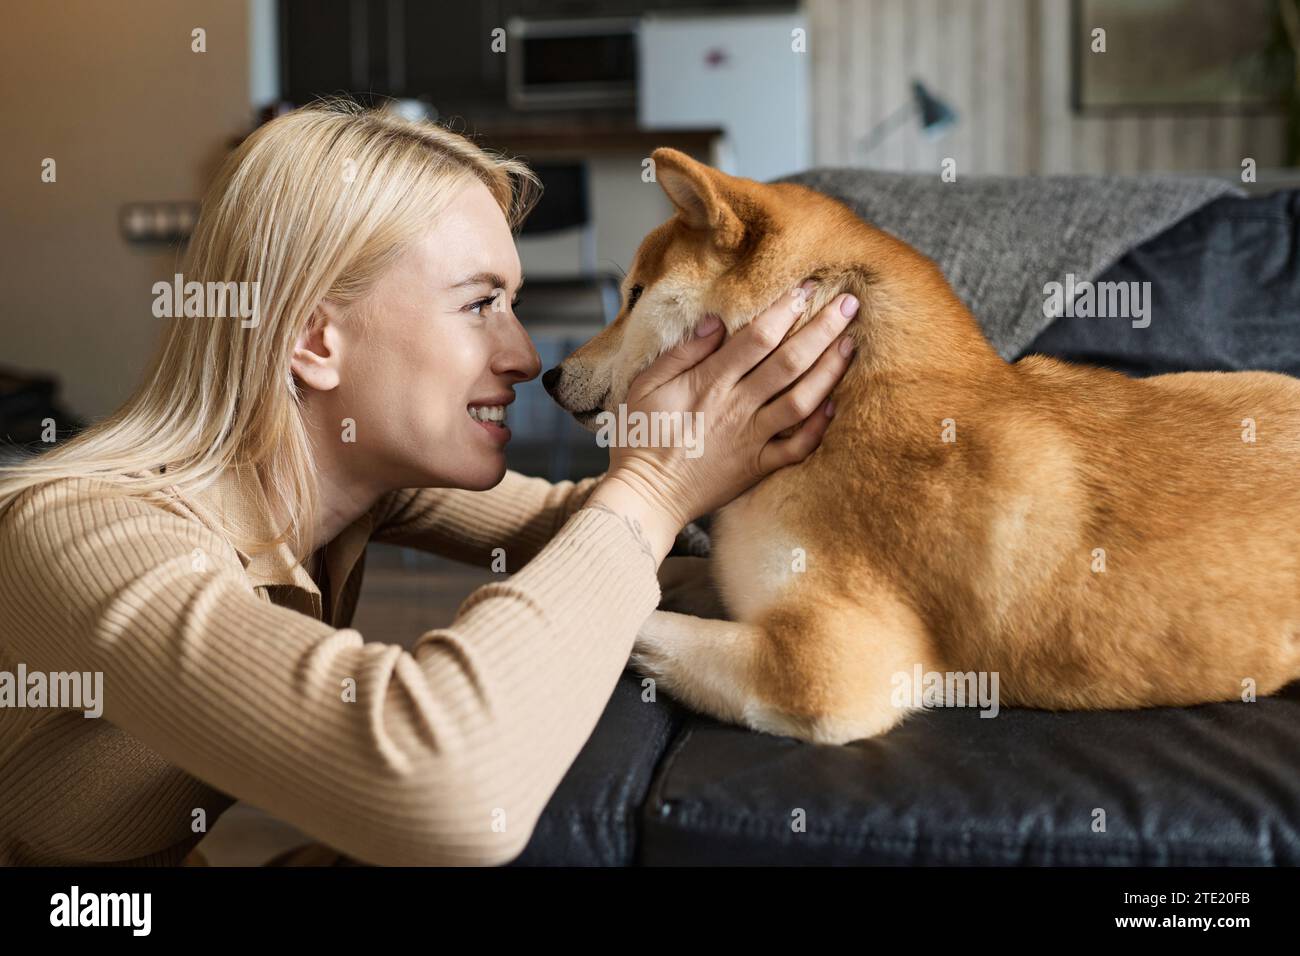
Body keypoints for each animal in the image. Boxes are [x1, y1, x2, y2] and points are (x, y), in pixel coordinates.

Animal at [546, 147, 1300, 749]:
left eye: (634, 294)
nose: (549, 376)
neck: (841, 400)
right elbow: (665, 578)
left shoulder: (829, 667)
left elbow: (637, 622)